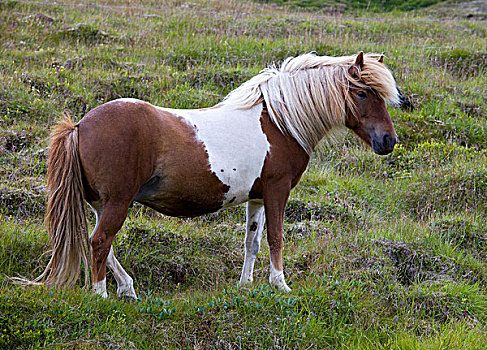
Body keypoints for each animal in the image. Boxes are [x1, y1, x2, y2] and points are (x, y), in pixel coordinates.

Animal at [16, 51, 412, 298]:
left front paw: (246, 286)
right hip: (116, 202)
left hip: (102, 203)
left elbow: (252, 241)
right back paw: (102, 295)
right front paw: (280, 285)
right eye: (363, 93)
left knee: (100, 243)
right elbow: (276, 238)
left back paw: (127, 288)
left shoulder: (257, 196)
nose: (388, 141)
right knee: (99, 243)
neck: (279, 121)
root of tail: (80, 125)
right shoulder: (277, 190)